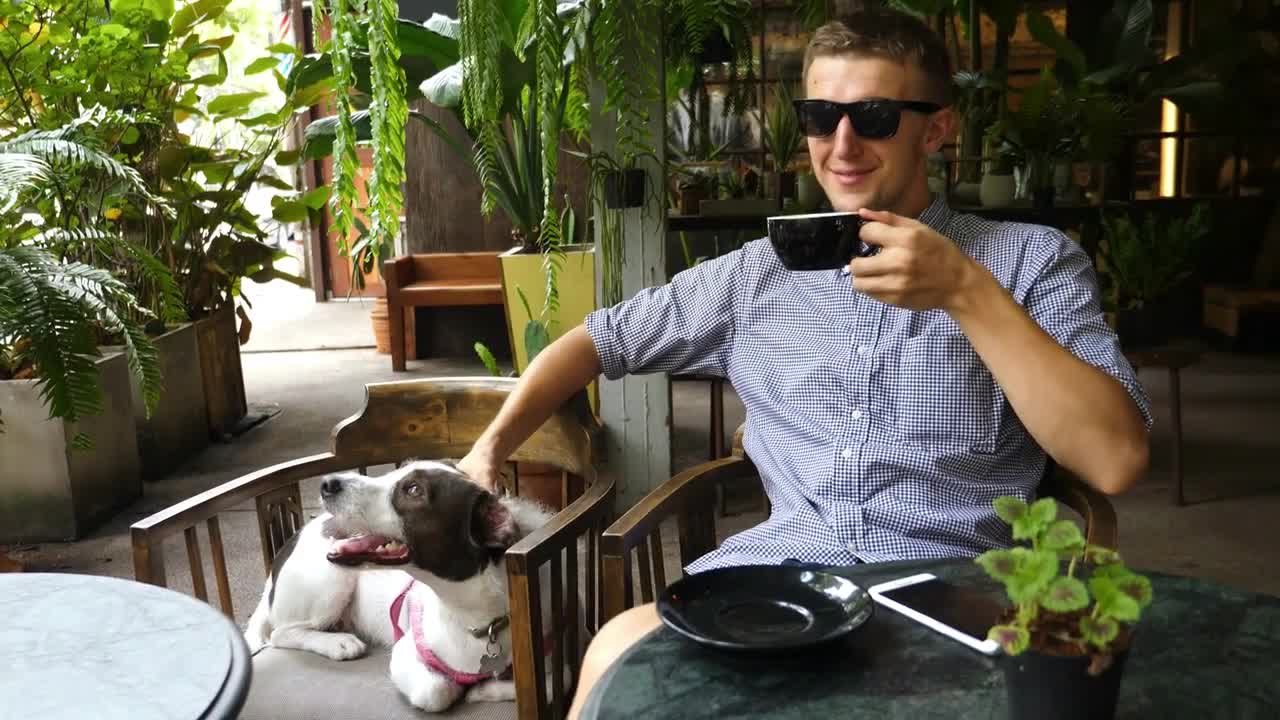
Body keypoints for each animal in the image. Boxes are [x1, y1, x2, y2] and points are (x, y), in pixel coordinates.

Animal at [244, 458, 555, 707]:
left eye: (414, 490)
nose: (327, 483)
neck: (475, 619)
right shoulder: (406, 651)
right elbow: (436, 691)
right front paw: (475, 690)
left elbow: (548, 687)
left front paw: (486, 689)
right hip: (328, 584)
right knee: (281, 633)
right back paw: (338, 643)